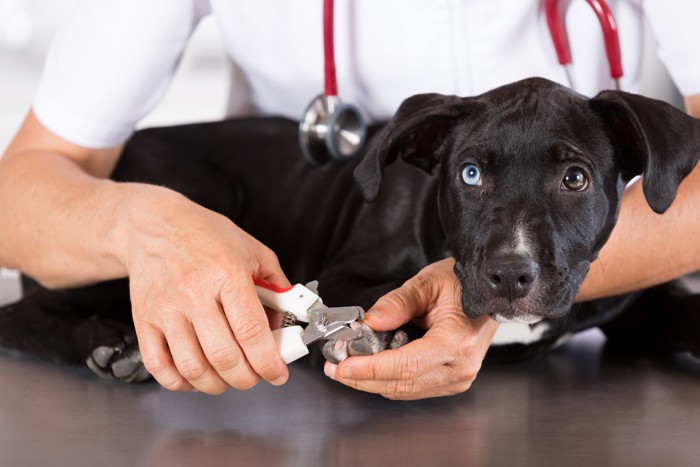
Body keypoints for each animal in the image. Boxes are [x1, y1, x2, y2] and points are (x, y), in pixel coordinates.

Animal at [1, 77, 700, 384]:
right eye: (470, 174)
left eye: (575, 178)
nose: (509, 272)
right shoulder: (343, 274)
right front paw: (377, 338)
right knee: (23, 309)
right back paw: (106, 345)